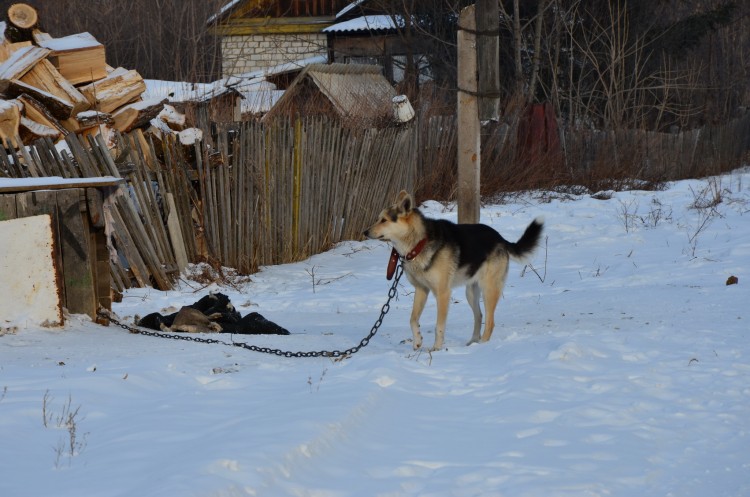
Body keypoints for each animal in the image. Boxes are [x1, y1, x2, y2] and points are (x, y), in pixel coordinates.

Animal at [362, 190, 544, 348]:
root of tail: (501, 239)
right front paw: (417, 341)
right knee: (479, 316)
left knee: (490, 322)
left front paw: (436, 349)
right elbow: (413, 319)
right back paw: (473, 342)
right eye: (379, 219)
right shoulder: (421, 290)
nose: (365, 232)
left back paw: (482, 346)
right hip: (471, 292)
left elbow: (439, 326)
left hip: (489, 290)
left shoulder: (443, 293)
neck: (419, 243)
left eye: (384, 220)